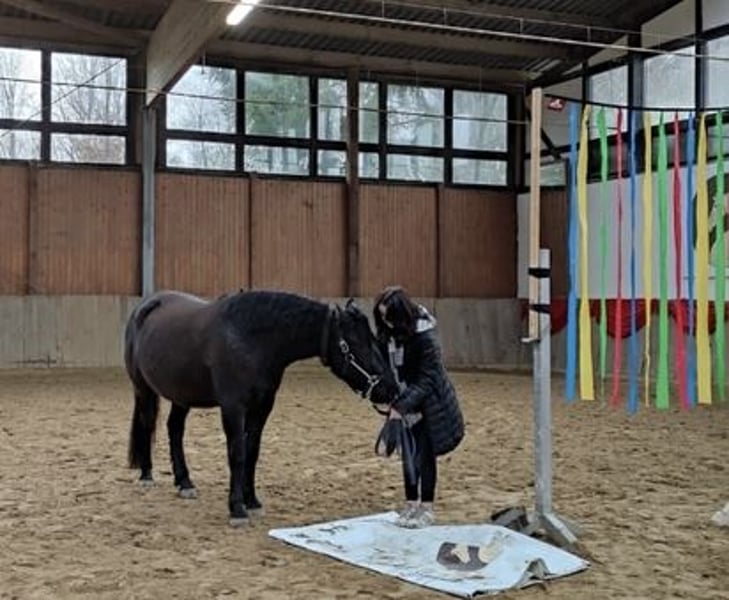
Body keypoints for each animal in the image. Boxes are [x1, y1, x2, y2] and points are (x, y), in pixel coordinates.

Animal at [124, 289, 398, 526]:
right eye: (357, 343)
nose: (391, 389)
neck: (249, 339)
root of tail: (145, 305)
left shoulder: (263, 406)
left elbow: (252, 452)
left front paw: (252, 501)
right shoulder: (233, 407)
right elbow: (237, 453)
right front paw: (237, 509)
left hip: (182, 396)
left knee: (174, 430)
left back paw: (185, 483)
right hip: (143, 389)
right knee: (147, 424)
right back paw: (147, 475)